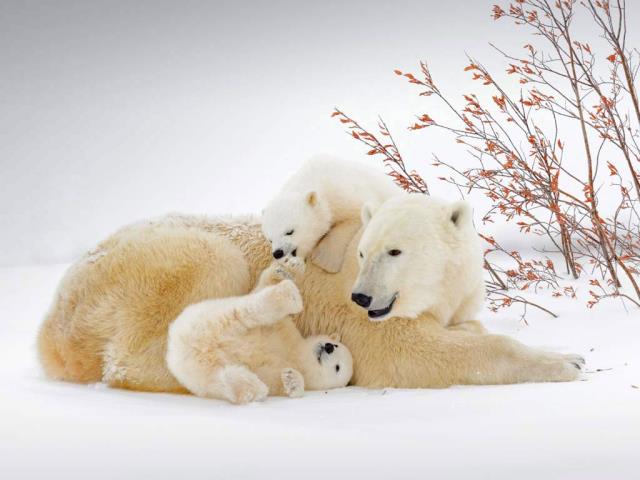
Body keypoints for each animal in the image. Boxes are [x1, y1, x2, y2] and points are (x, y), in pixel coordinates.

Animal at [166, 258, 353, 404]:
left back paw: (252, 387)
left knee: (220, 378)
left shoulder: (276, 372)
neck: (295, 354)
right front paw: (287, 267)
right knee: (249, 311)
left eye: (337, 367)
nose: (328, 347)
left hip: (201, 371)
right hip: (209, 316)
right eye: (335, 344)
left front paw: (292, 379)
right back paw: (288, 294)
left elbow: (282, 382)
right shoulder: (285, 331)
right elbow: (265, 289)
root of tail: (180, 348)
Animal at [261, 155, 400, 273]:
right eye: (270, 239)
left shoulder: (345, 195)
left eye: (290, 231)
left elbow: (353, 217)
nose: (278, 253)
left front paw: (323, 260)